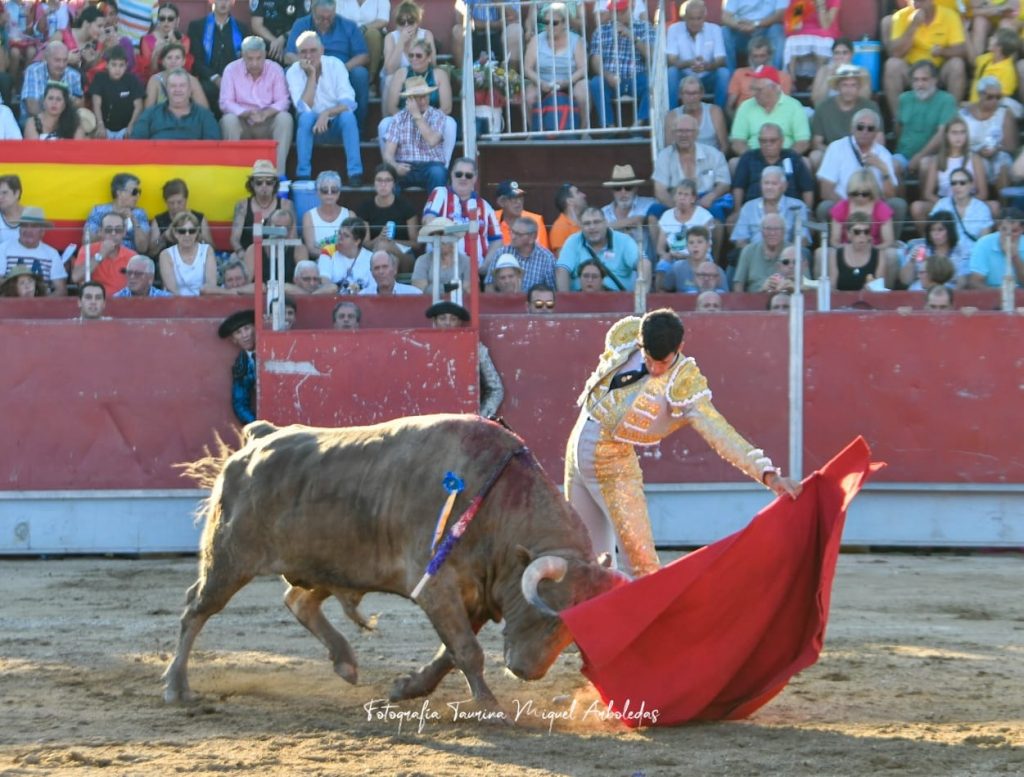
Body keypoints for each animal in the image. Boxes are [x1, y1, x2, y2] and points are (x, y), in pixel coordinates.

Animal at [162, 415, 622, 708]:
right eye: (544, 612)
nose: (527, 671)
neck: (497, 501)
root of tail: (260, 438)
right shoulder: (437, 585)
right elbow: (466, 650)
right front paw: (490, 706)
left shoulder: (474, 593)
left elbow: (449, 653)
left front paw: (407, 688)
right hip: (229, 559)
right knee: (195, 610)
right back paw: (176, 686)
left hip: (325, 563)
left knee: (298, 601)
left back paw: (345, 662)